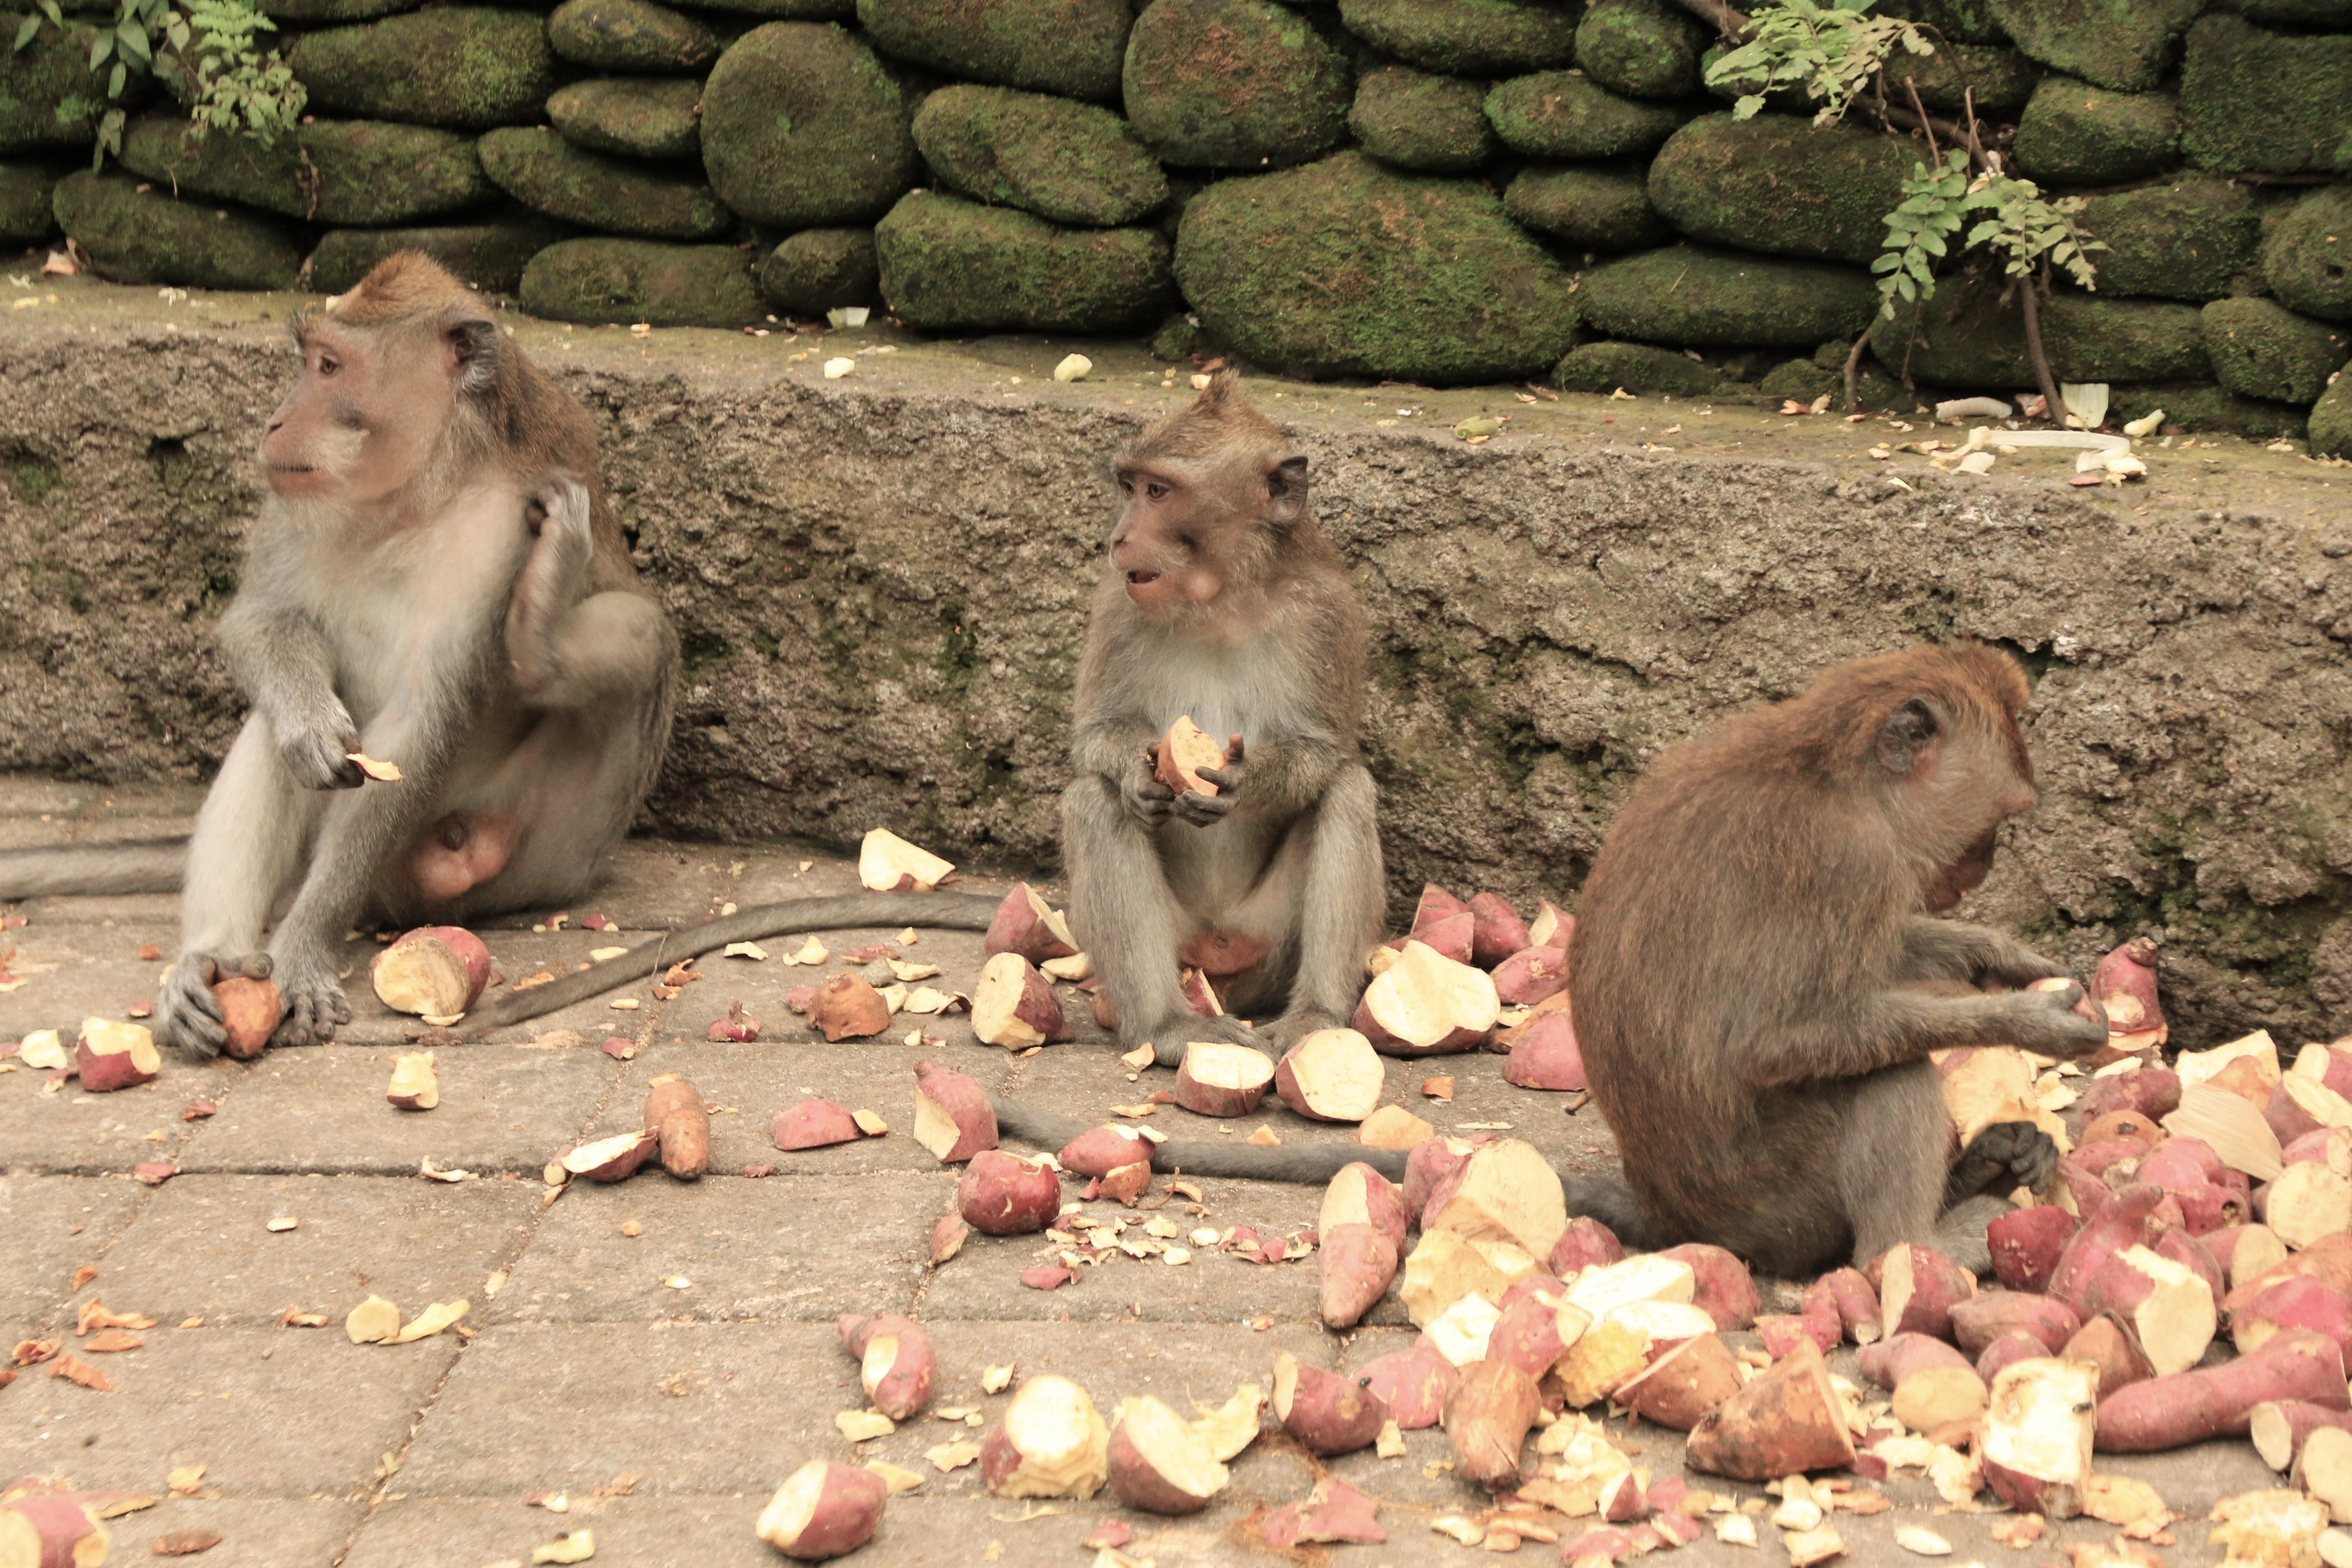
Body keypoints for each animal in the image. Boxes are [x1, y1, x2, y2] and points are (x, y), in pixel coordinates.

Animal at [1054, 368, 1386, 1067]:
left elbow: (1321, 751)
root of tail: (1219, 952)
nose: (1118, 539)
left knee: (1347, 789)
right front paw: (1138, 779)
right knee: (1093, 802)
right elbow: (1096, 739)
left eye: (1158, 491)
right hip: (1183, 942)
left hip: (1269, 938)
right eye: (1128, 488)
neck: (1220, 601)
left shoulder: (1326, 611)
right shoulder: (1117, 603)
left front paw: (1243, 782)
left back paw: (1316, 1015)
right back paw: (1167, 1025)